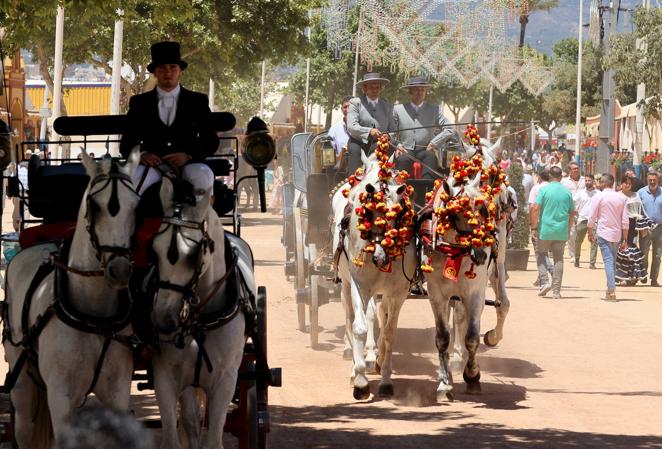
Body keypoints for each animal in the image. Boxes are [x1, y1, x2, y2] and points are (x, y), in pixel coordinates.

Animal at [1, 150, 140, 444]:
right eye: (95, 206)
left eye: (137, 206)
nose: (120, 270)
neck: (94, 315)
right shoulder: (60, 395)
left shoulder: (118, 392)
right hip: (22, 381)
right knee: (25, 430)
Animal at [152, 166, 253, 446]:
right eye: (154, 249)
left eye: (192, 254)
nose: (163, 320)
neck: (201, 319)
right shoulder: (165, 375)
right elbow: (177, 435)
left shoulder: (226, 381)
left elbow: (214, 440)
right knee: (191, 420)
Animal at [334, 150, 418, 400]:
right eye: (369, 212)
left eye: (398, 215)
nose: (381, 258)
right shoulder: (359, 285)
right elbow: (359, 327)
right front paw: (361, 380)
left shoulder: (398, 292)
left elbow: (389, 332)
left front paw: (386, 380)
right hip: (346, 284)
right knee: (350, 318)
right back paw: (355, 366)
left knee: (380, 314)